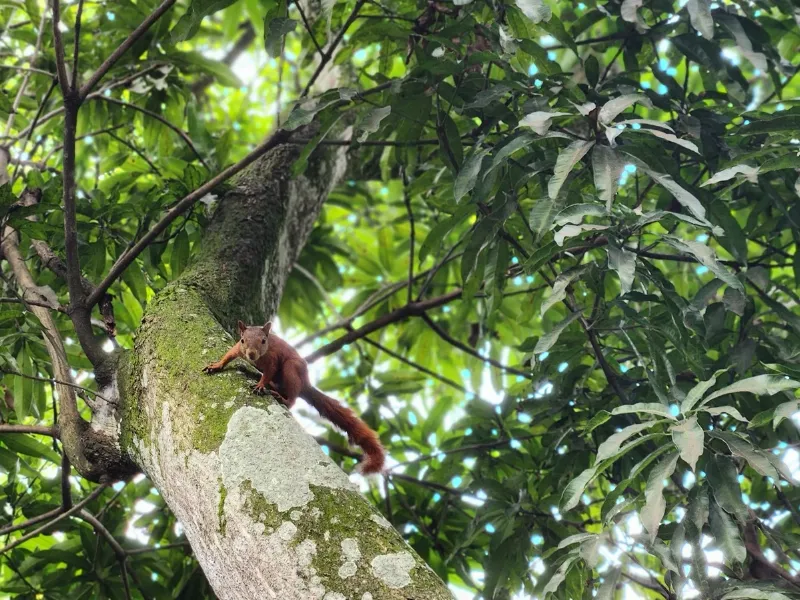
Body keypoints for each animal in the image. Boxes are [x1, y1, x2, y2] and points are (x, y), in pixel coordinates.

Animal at [202, 321, 385, 475]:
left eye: (263, 341)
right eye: (242, 340)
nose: (251, 354)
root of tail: (305, 384)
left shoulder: (273, 358)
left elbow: (269, 371)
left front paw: (261, 385)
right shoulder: (237, 349)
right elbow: (229, 355)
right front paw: (216, 365)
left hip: (291, 369)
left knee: (293, 398)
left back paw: (282, 398)